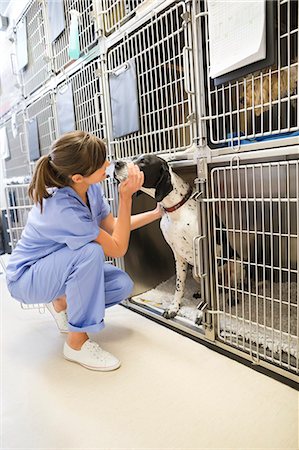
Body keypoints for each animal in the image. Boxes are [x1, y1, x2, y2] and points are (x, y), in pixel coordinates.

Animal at [114, 156, 244, 322]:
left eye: (143, 162)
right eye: (133, 158)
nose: (116, 163)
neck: (176, 208)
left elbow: (208, 289)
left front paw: (202, 314)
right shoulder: (178, 254)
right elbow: (179, 285)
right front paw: (174, 307)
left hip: (236, 265)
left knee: (234, 286)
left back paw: (232, 298)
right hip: (197, 271)